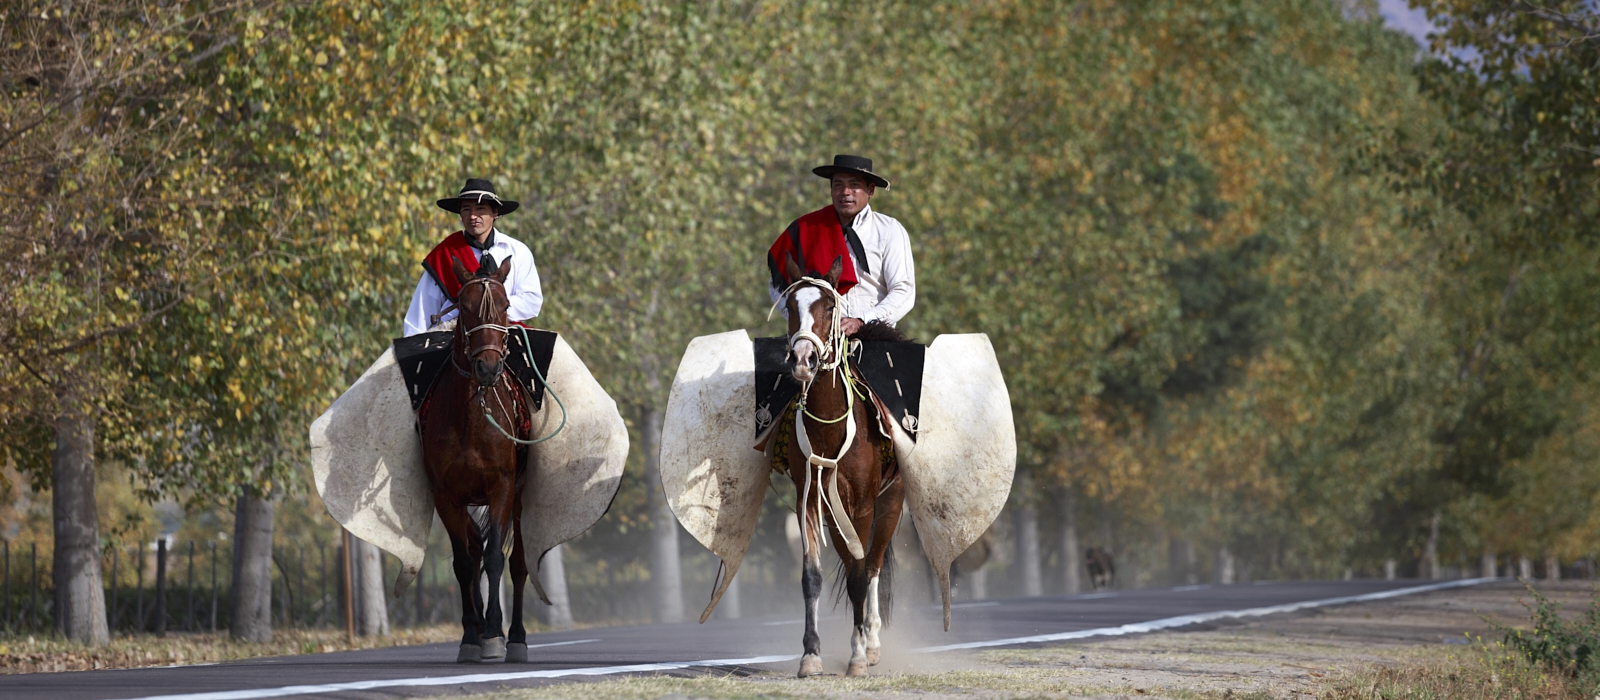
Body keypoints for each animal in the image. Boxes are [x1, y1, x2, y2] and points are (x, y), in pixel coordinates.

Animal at [419, 260, 531, 664]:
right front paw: (471, 635)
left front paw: (497, 635)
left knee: (518, 564)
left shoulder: (502, 488)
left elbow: (497, 557)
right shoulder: (446, 496)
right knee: (473, 549)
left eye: (505, 306)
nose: (487, 368)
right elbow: (464, 563)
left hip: (519, 498)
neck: (472, 416)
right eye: (464, 307)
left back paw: (516, 638)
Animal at [780, 254, 908, 674]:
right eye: (791, 306)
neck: (830, 426)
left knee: (872, 566)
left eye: (829, 306)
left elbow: (859, 573)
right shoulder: (809, 500)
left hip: (890, 503)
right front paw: (810, 656)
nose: (803, 359)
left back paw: (872, 642)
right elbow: (811, 577)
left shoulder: (864, 504)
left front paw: (857, 655)